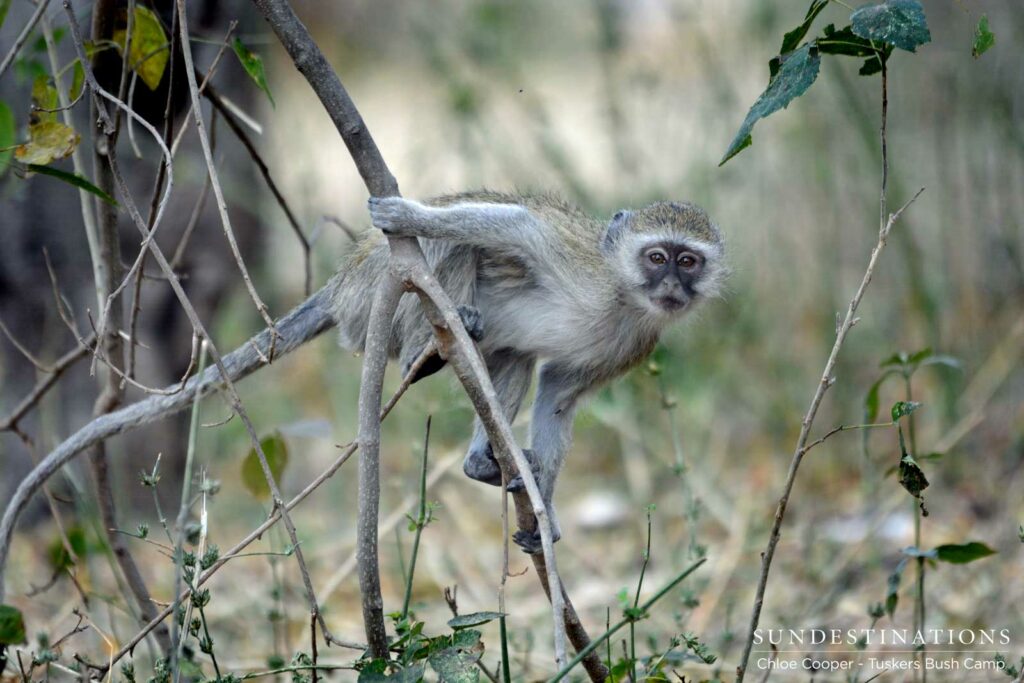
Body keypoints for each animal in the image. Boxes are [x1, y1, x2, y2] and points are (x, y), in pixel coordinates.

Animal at [329, 191, 725, 553]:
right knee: (453, 247)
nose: (672, 285)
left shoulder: (634, 346)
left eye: (688, 262)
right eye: (657, 258)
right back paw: (422, 354)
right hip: (368, 298)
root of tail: (342, 286)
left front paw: (544, 510)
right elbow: (518, 226)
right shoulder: (575, 260)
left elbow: (557, 396)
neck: (623, 296)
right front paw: (406, 215)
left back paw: (483, 464)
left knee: (516, 358)